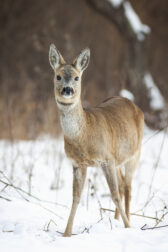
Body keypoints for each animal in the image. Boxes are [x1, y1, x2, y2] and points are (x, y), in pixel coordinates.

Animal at [49, 43, 144, 236]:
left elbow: (114, 195)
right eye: (58, 76)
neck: (84, 136)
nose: (67, 90)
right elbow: (76, 197)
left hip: (135, 154)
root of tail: (133, 104)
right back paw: (116, 220)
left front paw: (128, 227)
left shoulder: (106, 158)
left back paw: (128, 221)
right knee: (122, 184)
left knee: (127, 187)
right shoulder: (78, 163)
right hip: (118, 159)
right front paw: (66, 233)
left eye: (77, 77)